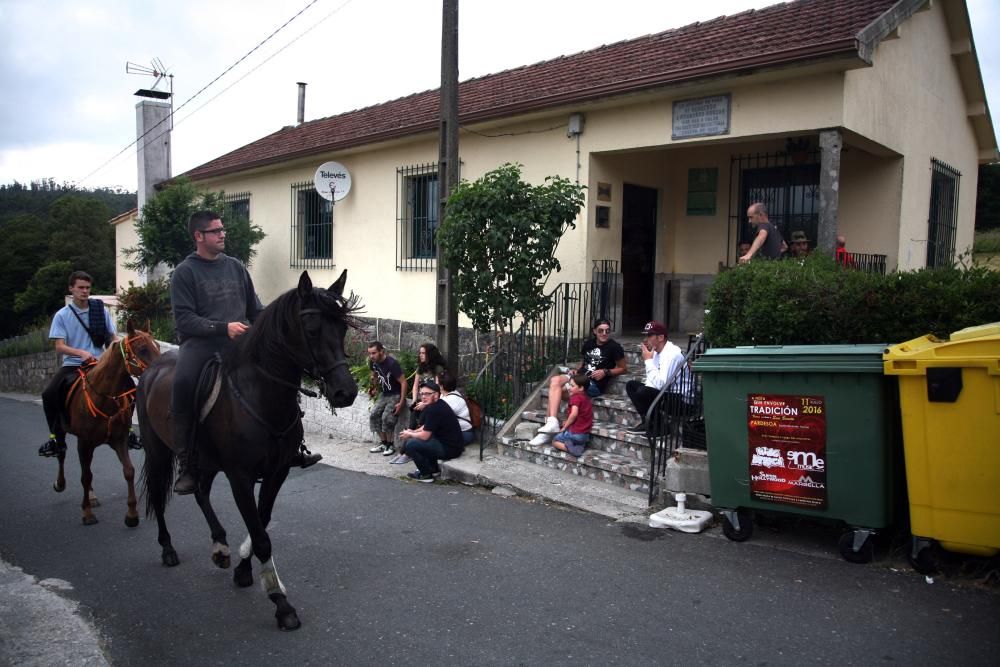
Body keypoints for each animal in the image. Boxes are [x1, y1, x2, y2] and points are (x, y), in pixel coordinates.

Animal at [53, 318, 160, 528]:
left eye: (158, 346)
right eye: (143, 349)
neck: (103, 396)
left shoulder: (119, 440)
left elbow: (128, 471)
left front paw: (132, 514)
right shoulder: (84, 442)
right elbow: (85, 476)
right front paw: (87, 513)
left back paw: (92, 497)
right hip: (64, 431)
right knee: (62, 454)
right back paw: (60, 484)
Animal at [137, 270, 360, 632]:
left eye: (341, 329)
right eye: (312, 329)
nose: (346, 392)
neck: (261, 395)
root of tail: (153, 367)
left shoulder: (277, 472)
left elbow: (261, 522)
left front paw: (243, 568)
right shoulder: (239, 477)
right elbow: (261, 533)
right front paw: (281, 603)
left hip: (206, 462)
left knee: (201, 492)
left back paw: (219, 545)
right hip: (158, 451)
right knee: (159, 494)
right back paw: (167, 549)